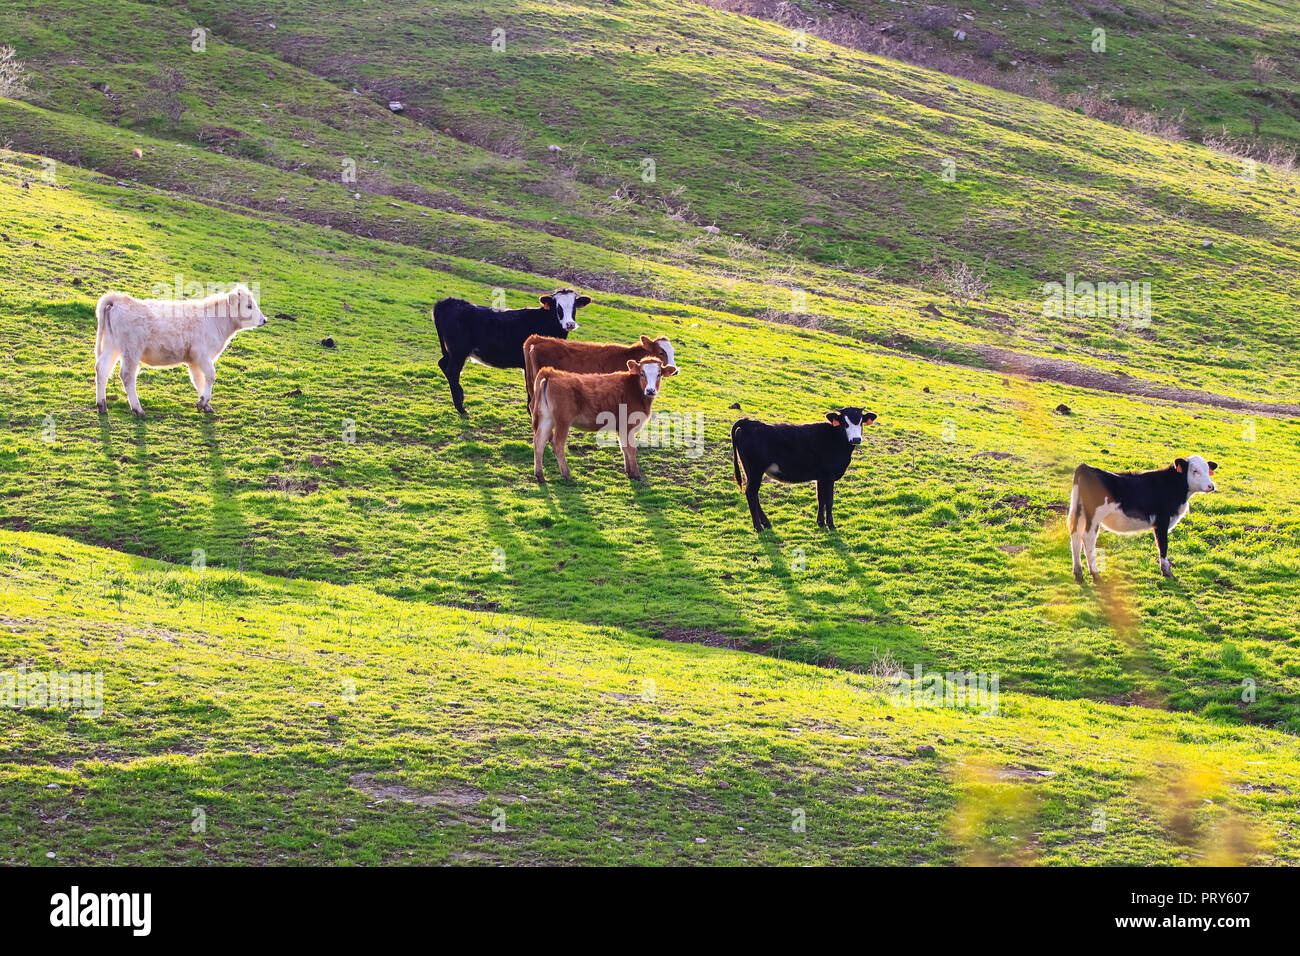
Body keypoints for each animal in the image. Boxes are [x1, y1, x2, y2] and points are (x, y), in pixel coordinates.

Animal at [94, 283, 268, 417]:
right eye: (249, 305)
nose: (264, 320)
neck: (215, 321)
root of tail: (119, 298)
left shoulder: (194, 360)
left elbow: (199, 380)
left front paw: (205, 404)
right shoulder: (201, 354)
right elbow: (211, 375)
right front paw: (203, 401)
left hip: (112, 346)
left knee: (102, 369)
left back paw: (102, 405)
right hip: (131, 350)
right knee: (127, 375)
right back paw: (138, 409)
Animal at [433, 289, 590, 415]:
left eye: (574, 306)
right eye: (558, 307)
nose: (570, 324)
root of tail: (448, 302)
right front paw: (532, 410)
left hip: (451, 352)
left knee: (443, 365)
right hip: (458, 352)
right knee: (452, 372)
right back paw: (461, 408)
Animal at [531, 357, 677, 482]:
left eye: (659, 374)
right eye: (642, 374)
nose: (650, 390)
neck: (635, 390)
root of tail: (551, 372)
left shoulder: (621, 427)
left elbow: (624, 447)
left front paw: (629, 472)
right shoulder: (628, 425)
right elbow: (631, 448)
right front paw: (636, 474)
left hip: (546, 418)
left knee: (539, 441)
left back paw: (540, 475)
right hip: (563, 420)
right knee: (557, 444)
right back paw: (566, 475)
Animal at [731, 408, 877, 532]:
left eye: (861, 422)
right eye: (844, 423)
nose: (856, 439)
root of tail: (749, 423)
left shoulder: (821, 477)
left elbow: (821, 498)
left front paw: (821, 523)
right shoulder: (829, 476)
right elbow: (829, 500)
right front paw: (831, 525)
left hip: (751, 471)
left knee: (754, 495)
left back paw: (766, 523)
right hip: (755, 470)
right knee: (751, 493)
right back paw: (758, 527)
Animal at [1069, 455, 1218, 581]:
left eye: (1207, 470)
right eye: (1194, 470)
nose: (1211, 486)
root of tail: (1086, 468)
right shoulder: (1162, 521)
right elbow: (1163, 545)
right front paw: (1167, 572)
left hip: (1079, 512)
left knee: (1075, 536)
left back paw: (1078, 572)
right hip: (1094, 517)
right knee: (1088, 539)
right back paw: (1095, 574)